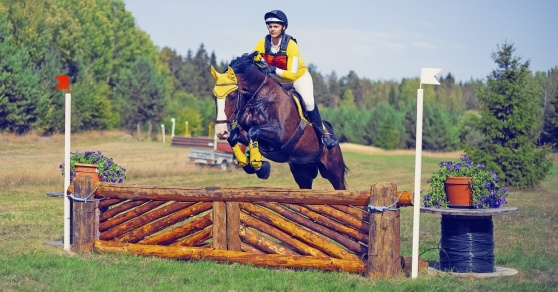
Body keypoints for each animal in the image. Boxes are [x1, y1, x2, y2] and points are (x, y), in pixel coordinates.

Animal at [211, 51, 350, 190]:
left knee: (339, 185)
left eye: (232, 96)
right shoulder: (245, 132)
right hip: (302, 171)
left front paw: (259, 167)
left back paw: (328, 140)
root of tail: (329, 130)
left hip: (333, 170)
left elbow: (253, 131)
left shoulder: (279, 135)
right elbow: (234, 136)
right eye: (214, 97)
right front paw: (248, 163)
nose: (221, 132)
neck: (259, 98)